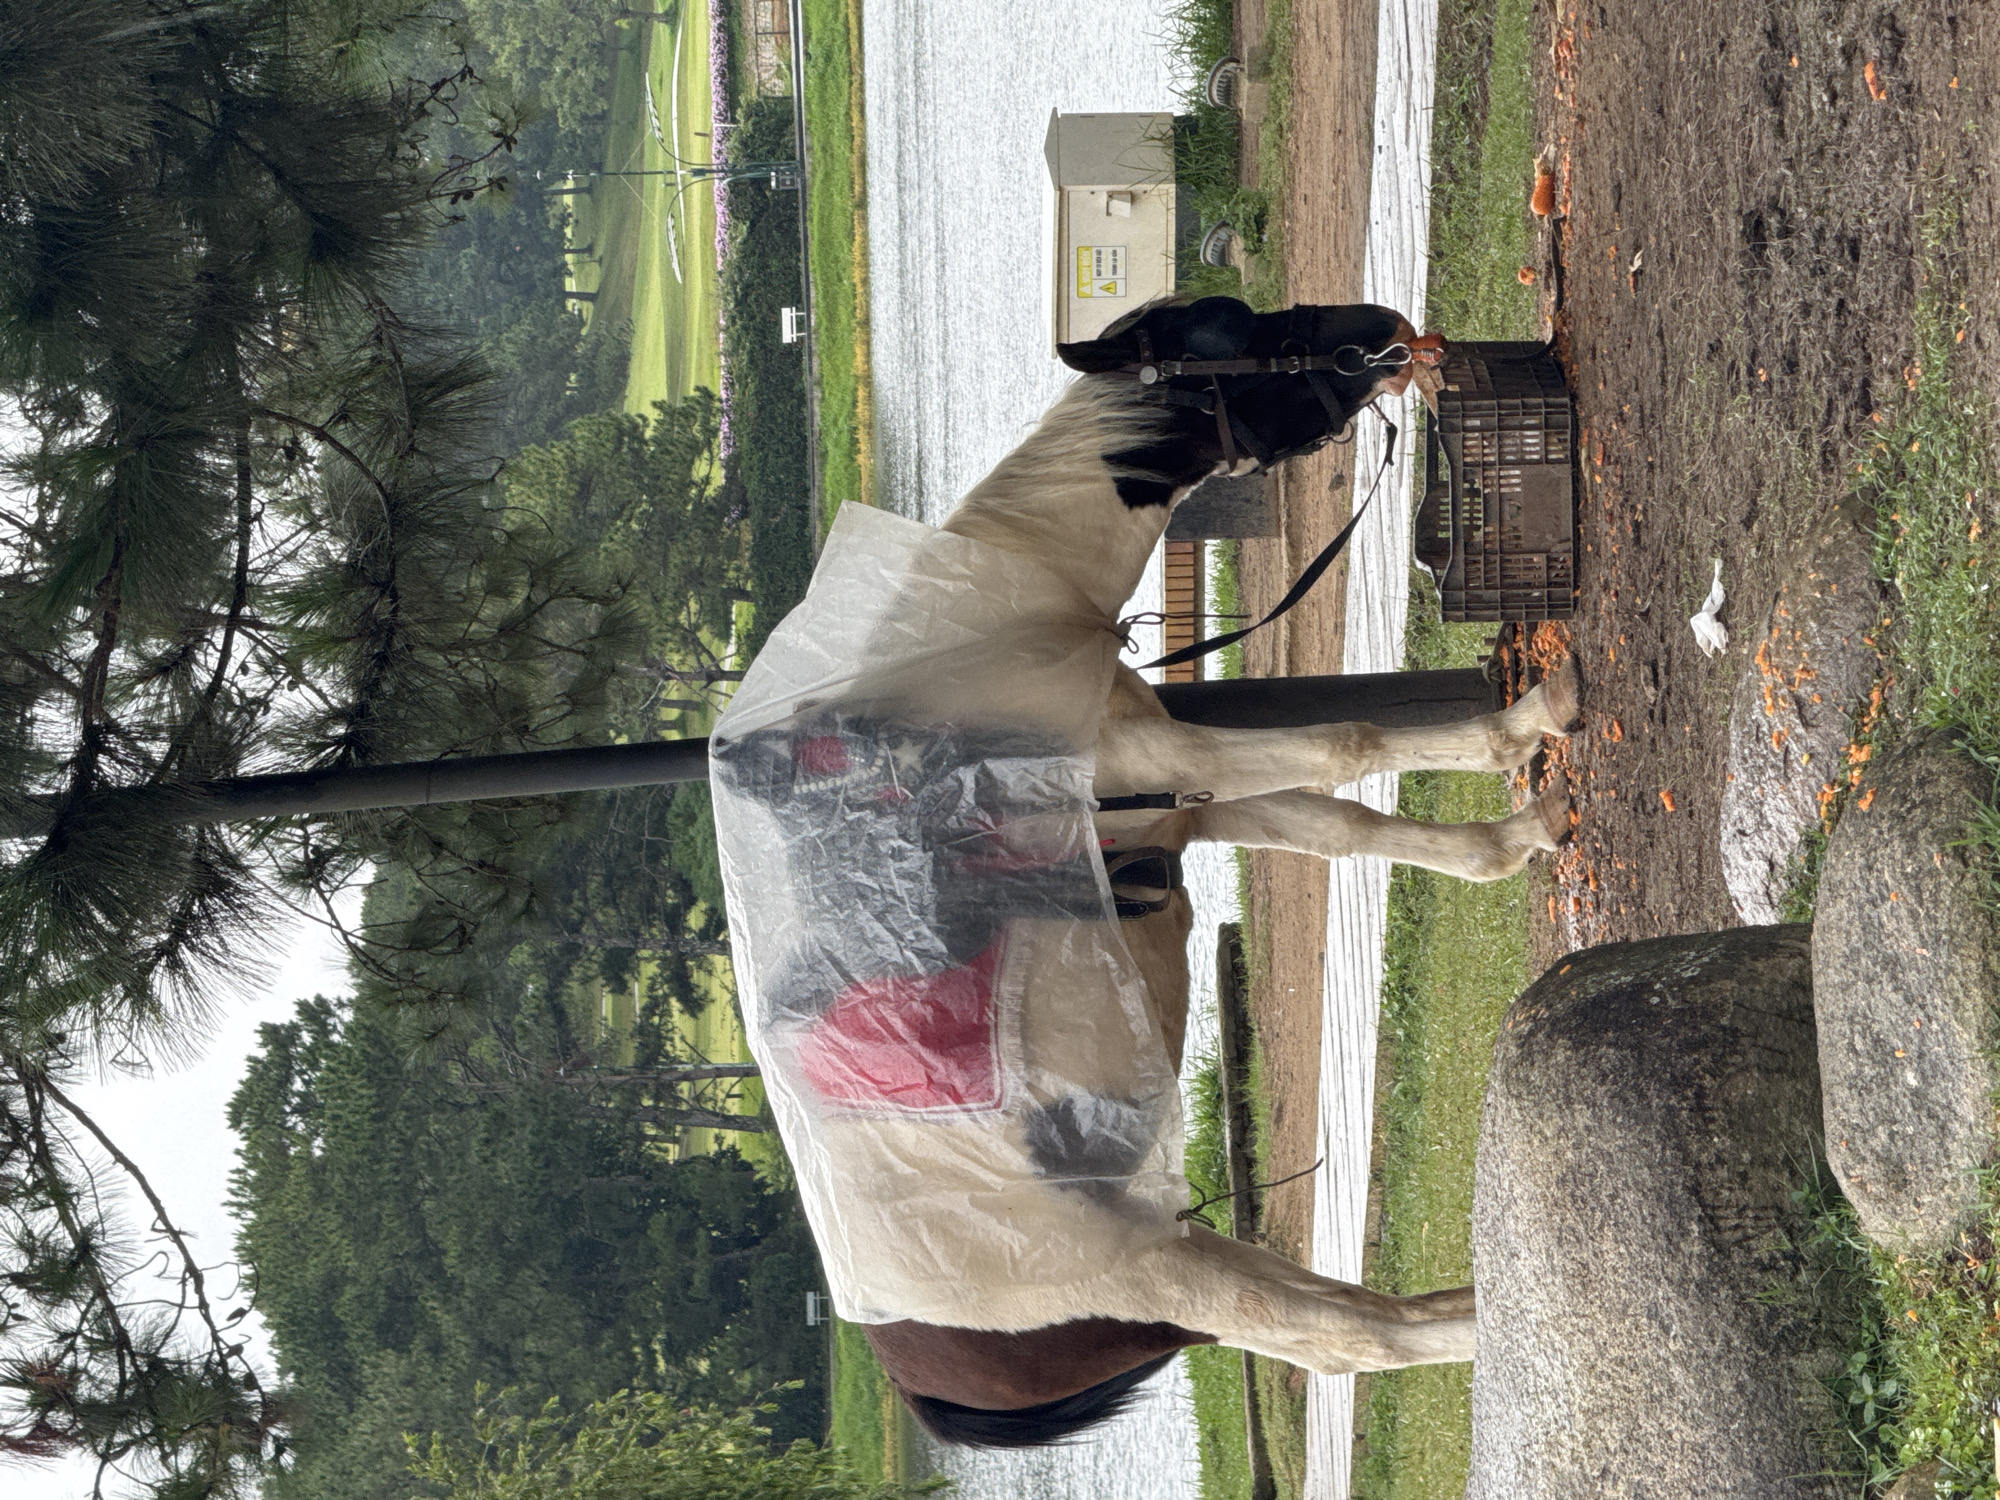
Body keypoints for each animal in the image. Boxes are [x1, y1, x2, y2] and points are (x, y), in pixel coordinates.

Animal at [709, 295, 1579, 1449]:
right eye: (1230, 339)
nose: (1381, 327)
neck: (1015, 618)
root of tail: (917, 1360)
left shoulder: (1187, 801)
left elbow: (1345, 825)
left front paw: (1508, 839)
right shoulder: (1181, 760)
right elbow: (1348, 743)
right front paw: (1528, 724)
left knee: (1335, 1315)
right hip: (1153, 1271)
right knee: (1340, 1338)